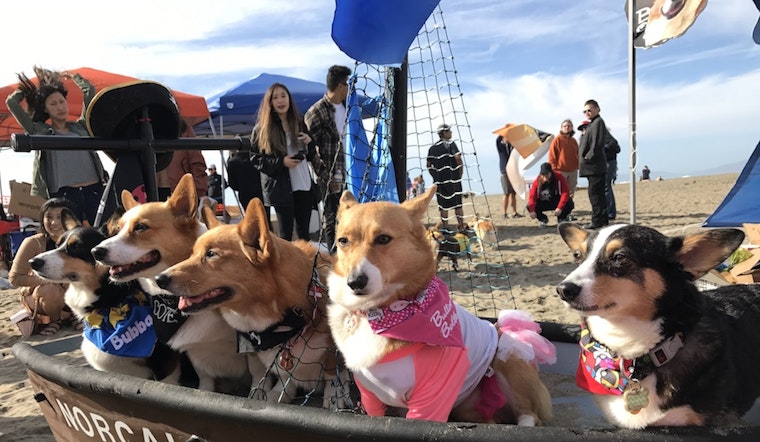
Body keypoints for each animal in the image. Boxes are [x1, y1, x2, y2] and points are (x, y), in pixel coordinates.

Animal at [154, 199, 348, 410]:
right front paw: (278, 393)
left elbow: (333, 375)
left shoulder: (333, 353)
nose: (159, 279)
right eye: (192, 254)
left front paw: (335, 398)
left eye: (211, 254)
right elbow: (283, 378)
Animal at [326, 184, 552, 424]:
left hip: (510, 358)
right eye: (342, 241)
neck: (379, 313)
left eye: (383, 238)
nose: (354, 282)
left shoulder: (432, 396)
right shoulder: (370, 395)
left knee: (529, 414)